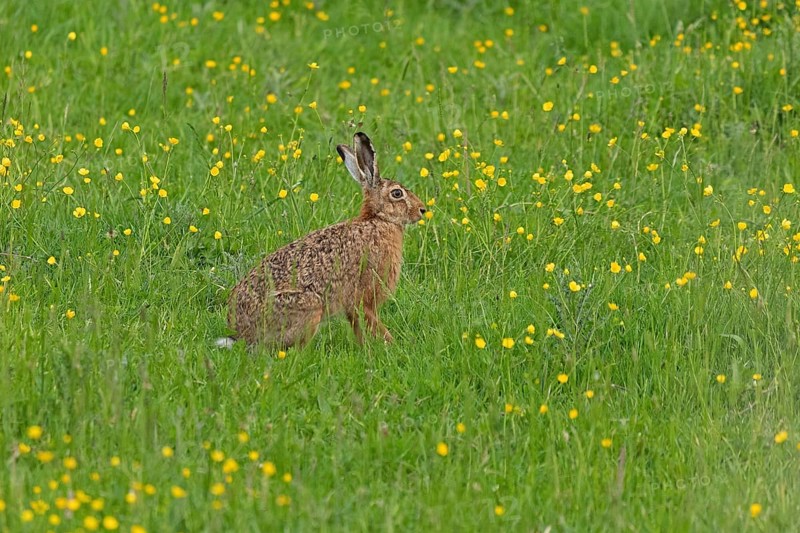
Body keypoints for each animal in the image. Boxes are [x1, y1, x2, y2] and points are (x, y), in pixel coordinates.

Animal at [219, 132, 427, 349]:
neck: (379, 219)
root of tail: (240, 333)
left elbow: (358, 327)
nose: (422, 209)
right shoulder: (365, 296)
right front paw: (393, 345)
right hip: (309, 307)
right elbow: (372, 323)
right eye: (397, 193)